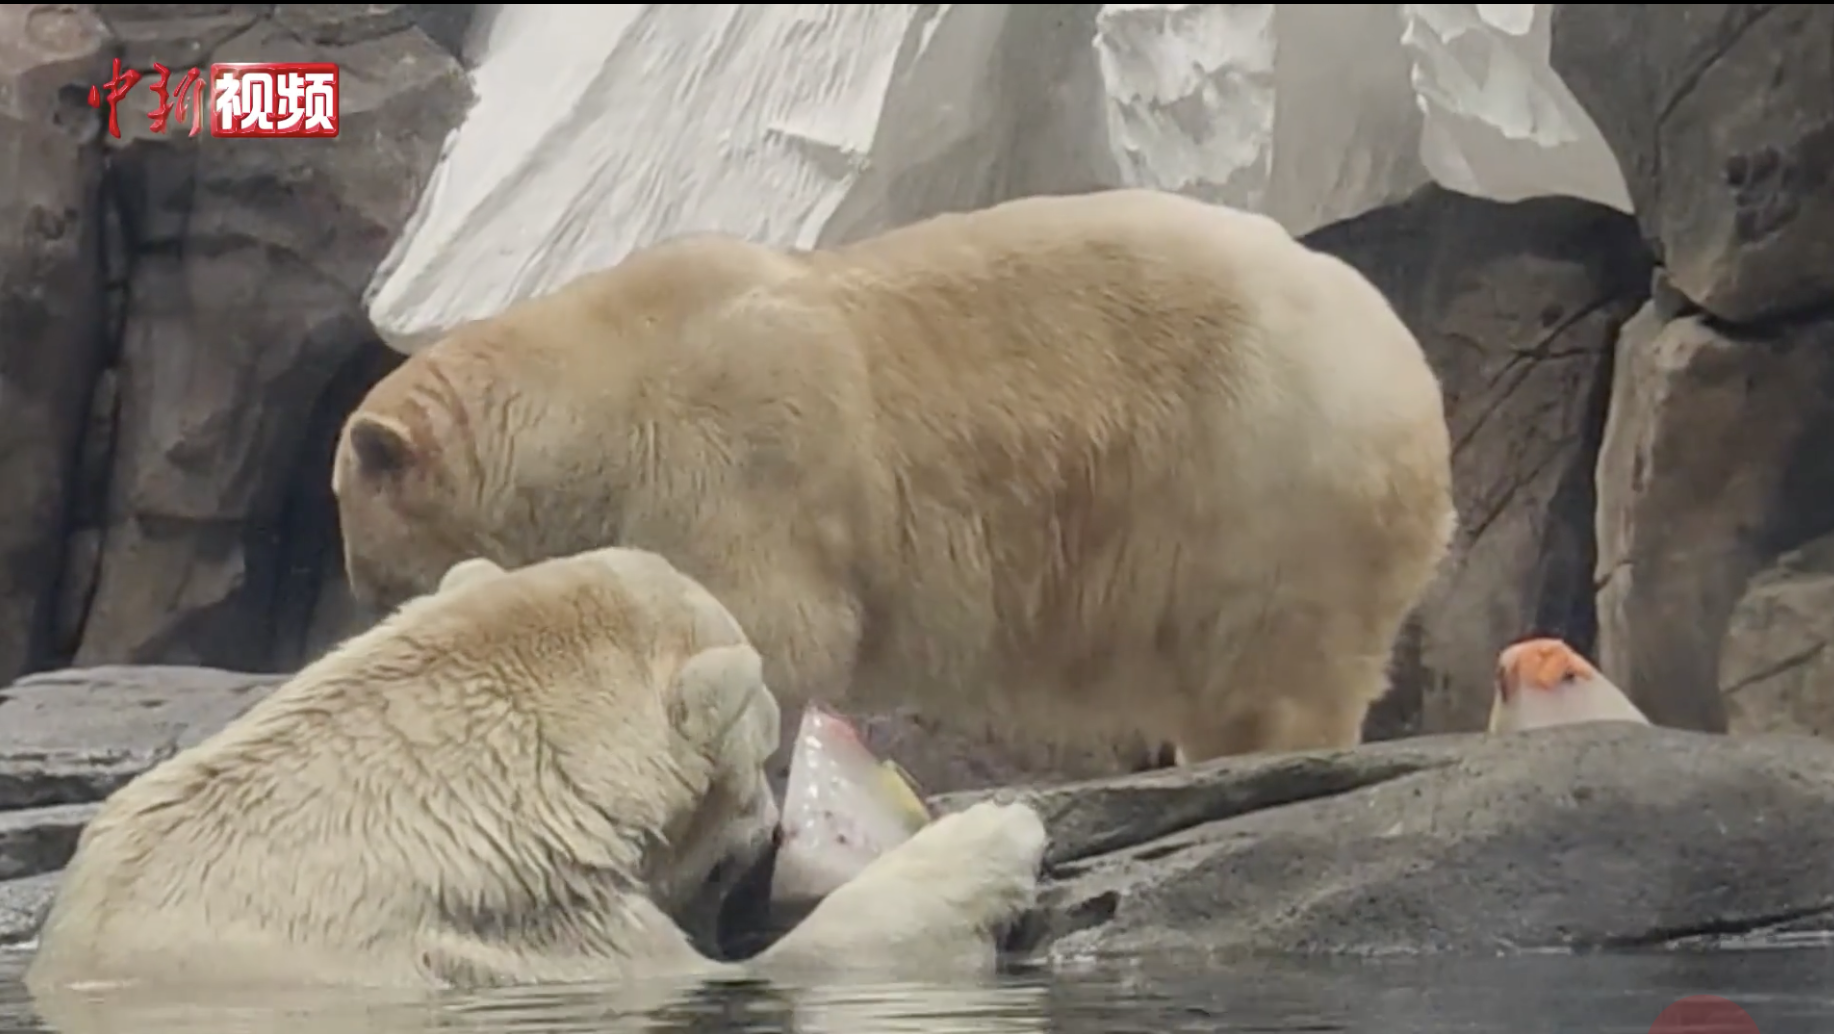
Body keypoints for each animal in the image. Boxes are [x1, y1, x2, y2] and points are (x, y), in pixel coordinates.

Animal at [330, 189, 1445, 762]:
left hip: (1266, 466)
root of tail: (1411, 369)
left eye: (360, 546)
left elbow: (773, 626)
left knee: (1277, 660)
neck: (598, 383)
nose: (363, 596)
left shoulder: (731, 452)